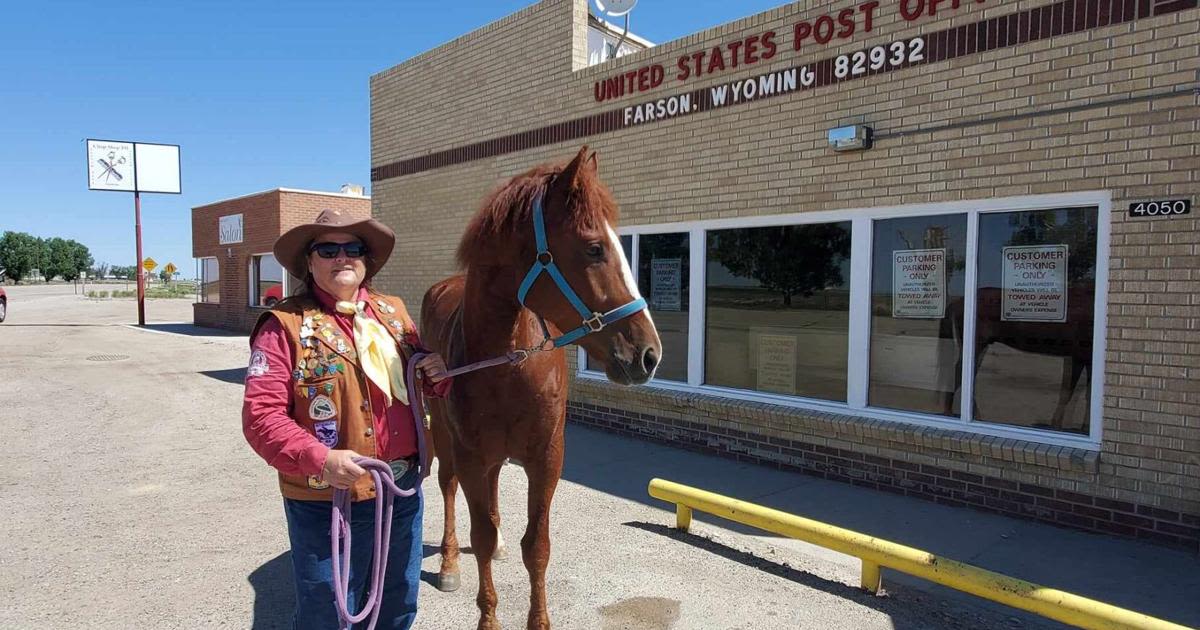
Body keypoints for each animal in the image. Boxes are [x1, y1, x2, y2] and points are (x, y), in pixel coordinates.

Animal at [420, 145, 662, 624]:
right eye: (594, 248)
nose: (649, 354)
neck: (509, 363)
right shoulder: (472, 455)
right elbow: (482, 532)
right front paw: (488, 617)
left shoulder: (547, 457)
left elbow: (536, 546)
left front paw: (539, 619)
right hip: (445, 436)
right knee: (449, 488)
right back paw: (450, 563)